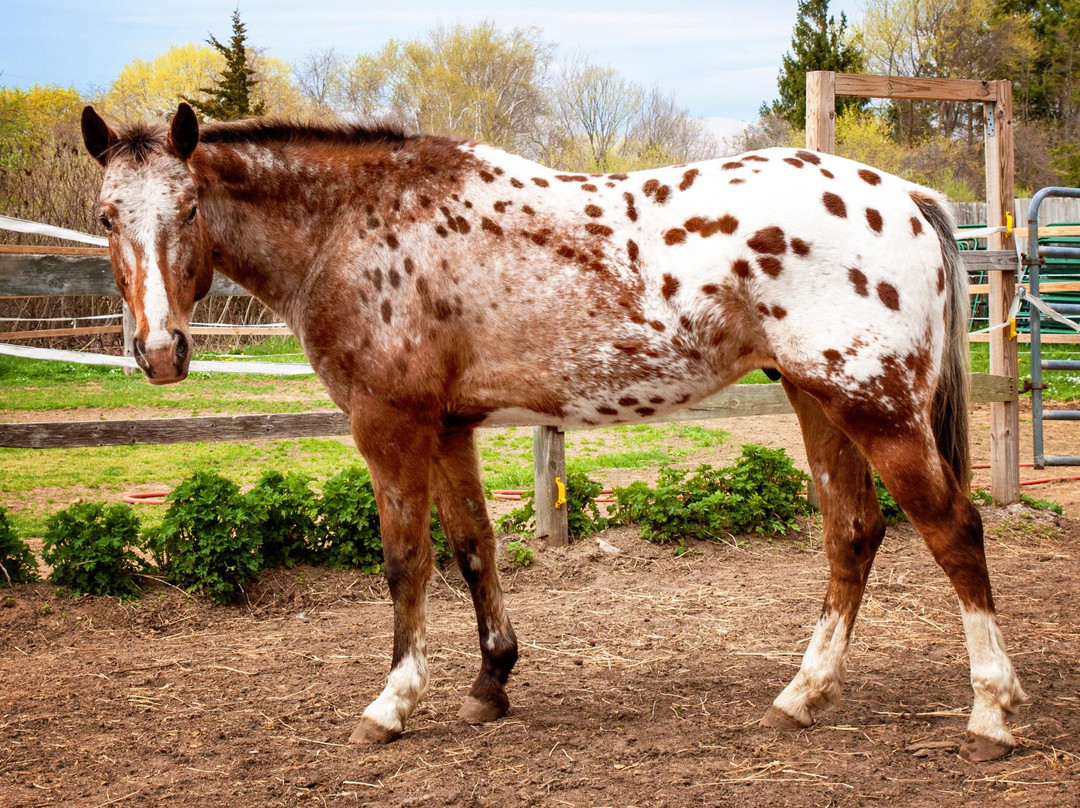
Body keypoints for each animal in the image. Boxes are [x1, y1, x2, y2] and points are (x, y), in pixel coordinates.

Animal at [81, 103, 1027, 761]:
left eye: (189, 206)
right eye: (105, 215)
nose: (160, 352)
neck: (353, 224)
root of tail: (905, 196)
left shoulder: (390, 426)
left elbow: (405, 562)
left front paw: (391, 705)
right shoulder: (450, 428)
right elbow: (473, 551)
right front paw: (490, 682)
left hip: (874, 406)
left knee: (953, 529)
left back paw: (990, 710)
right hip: (816, 399)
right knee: (853, 533)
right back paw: (803, 694)